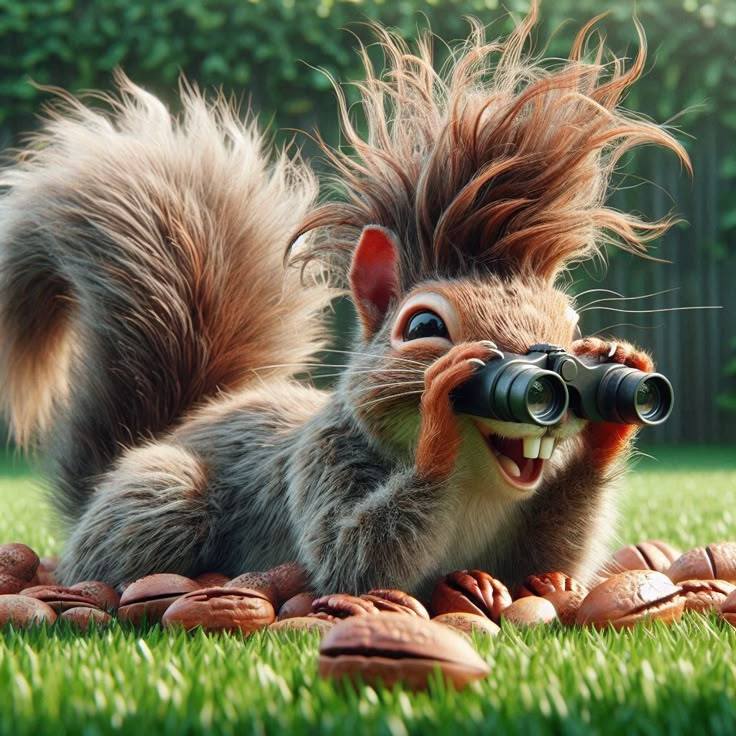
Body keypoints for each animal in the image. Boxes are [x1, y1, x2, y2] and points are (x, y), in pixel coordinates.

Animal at [0, 8, 690, 596]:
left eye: (572, 328)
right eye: (423, 324)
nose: (559, 371)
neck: (480, 489)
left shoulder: (527, 544)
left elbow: (551, 558)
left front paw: (617, 388)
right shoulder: (320, 462)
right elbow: (351, 560)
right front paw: (440, 410)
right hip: (163, 494)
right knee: (104, 558)